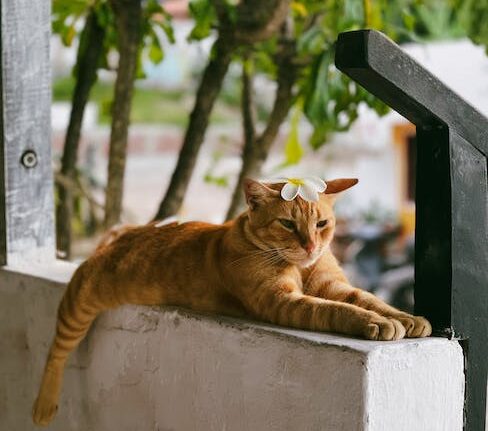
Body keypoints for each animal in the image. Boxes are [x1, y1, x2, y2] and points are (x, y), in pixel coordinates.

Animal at [33, 177, 430, 426]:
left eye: (321, 225)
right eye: (288, 225)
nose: (310, 247)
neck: (299, 267)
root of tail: (123, 232)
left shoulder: (333, 285)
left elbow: (366, 298)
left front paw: (407, 318)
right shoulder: (283, 301)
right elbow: (337, 310)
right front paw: (377, 323)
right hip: (78, 304)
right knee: (55, 351)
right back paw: (43, 405)